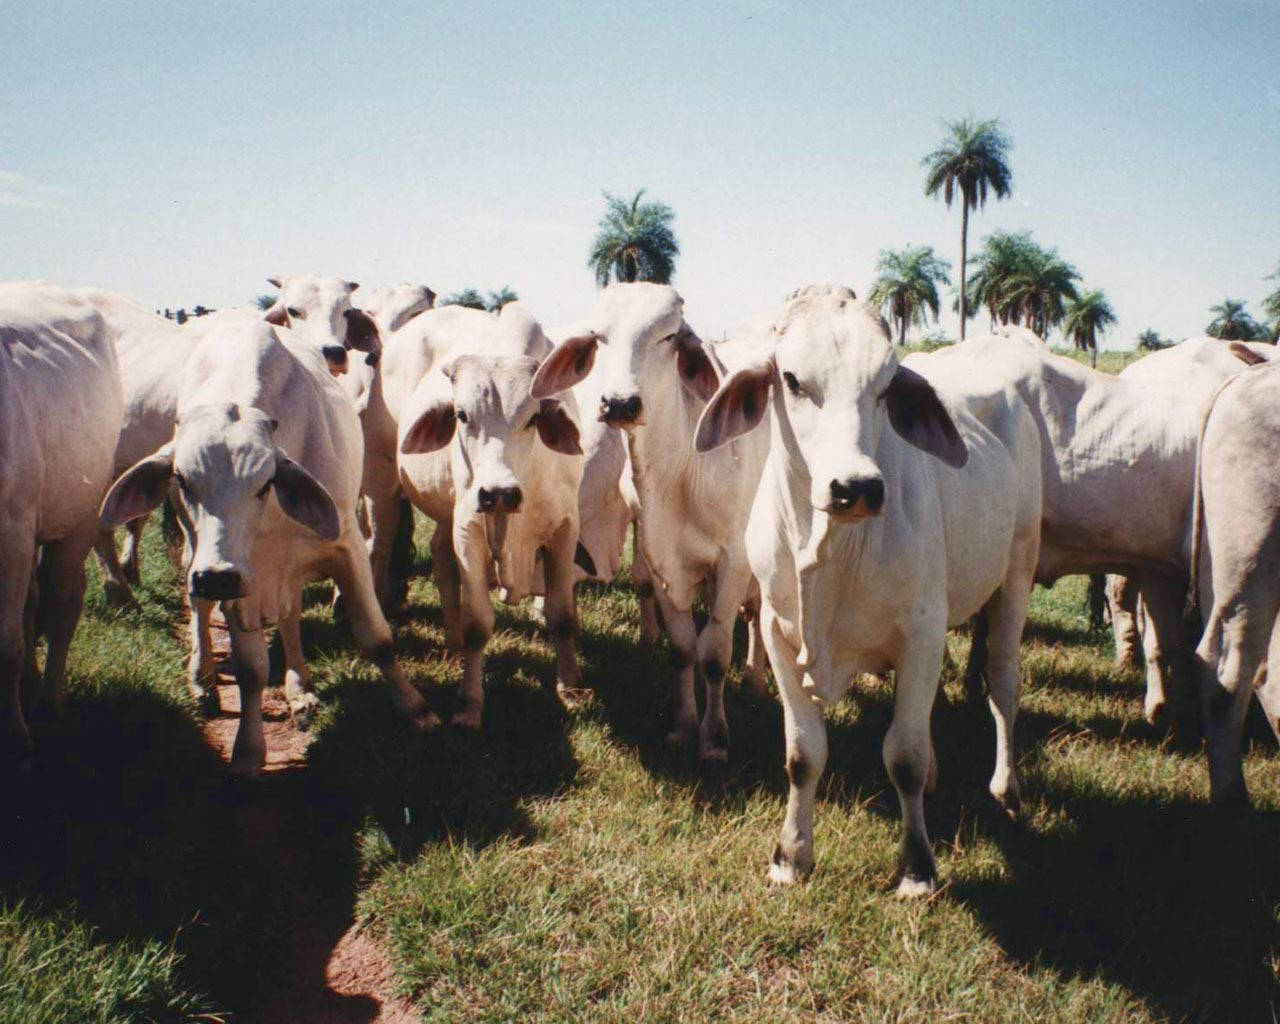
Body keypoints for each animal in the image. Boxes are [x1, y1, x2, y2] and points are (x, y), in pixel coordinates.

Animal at [0, 284, 124, 762]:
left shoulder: (12, 530)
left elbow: (6, 643)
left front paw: (15, 740)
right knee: (34, 607)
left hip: (82, 513)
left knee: (63, 601)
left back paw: (48, 700)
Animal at [391, 304, 586, 727]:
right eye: (462, 415)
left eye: (533, 418)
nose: (499, 493)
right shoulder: (469, 529)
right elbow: (478, 624)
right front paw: (469, 704)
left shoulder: (565, 528)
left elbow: (563, 615)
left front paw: (571, 689)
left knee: (440, 556)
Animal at [532, 284, 768, 762]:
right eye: (599, 337)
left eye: (669, 336)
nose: (619, 403)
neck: (681, 472)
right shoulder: (661, 559)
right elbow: (683, 648)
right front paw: (684, 724)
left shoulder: (734, 561)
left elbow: (714, 651)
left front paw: (715, 737)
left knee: (761, 611)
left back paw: (756, 675)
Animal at [691, 284, 1039, 890]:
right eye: (792, 379)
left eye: (885, 385)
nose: (856, 487)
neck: (831, 551)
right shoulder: (779, 634)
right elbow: (803, 754)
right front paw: (790, 857)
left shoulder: (921, 632)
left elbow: (904, 757)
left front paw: (917, 867)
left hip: (1017, 569)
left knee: (1003, 682)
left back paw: (1006, 786)